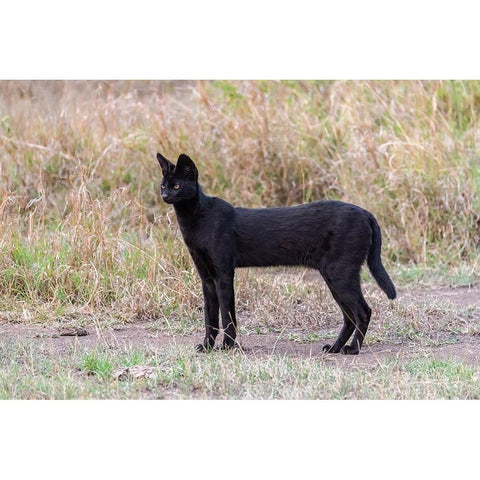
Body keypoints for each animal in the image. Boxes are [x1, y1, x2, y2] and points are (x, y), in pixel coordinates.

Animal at [156, 152, 396, 354]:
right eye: (163, 185)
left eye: (177, 185)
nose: (165, 195)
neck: (196, 221)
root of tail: (365, 213)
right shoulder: (206, 277)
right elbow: (210, 317)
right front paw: (206, 346)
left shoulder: (224, 273)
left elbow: (227, 314)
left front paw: (227, 347)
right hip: (334, 277)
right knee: (349, 317)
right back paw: (334, 348)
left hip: (340, 274)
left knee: (363, 311)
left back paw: (352, 349)